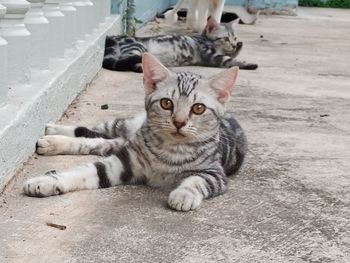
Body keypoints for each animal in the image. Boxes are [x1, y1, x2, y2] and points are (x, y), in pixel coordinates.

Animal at [23, 53, 247, 212]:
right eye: (166, 103)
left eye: (198, 108)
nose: (179, 122)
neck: (170, 151)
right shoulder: (125, 162)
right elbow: (86, 172)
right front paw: (46, 181)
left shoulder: (215, 173)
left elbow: (197, 181)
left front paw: (184, 194)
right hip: (125, 128)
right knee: (97, 130)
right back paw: (54, 132)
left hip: (121, 142)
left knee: (97, 143)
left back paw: (52, 141)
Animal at [102, 16, 258, 72]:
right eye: (225, 38)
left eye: (234, 38)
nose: (234, 44)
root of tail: (114, 38)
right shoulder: (211, 56)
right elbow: (230, 60)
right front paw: (247, 63)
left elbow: (232, 55)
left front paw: (239, 48)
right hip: (137, 48)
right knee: (120, 62)